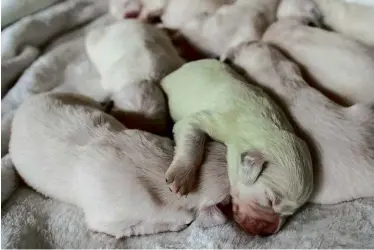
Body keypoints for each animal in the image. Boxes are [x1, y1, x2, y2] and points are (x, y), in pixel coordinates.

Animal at [160, 59, 312, 236]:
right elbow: (192, 140)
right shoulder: (207, 120)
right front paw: (181, 177)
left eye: (291, 213)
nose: (268, 232)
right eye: (270, 200)